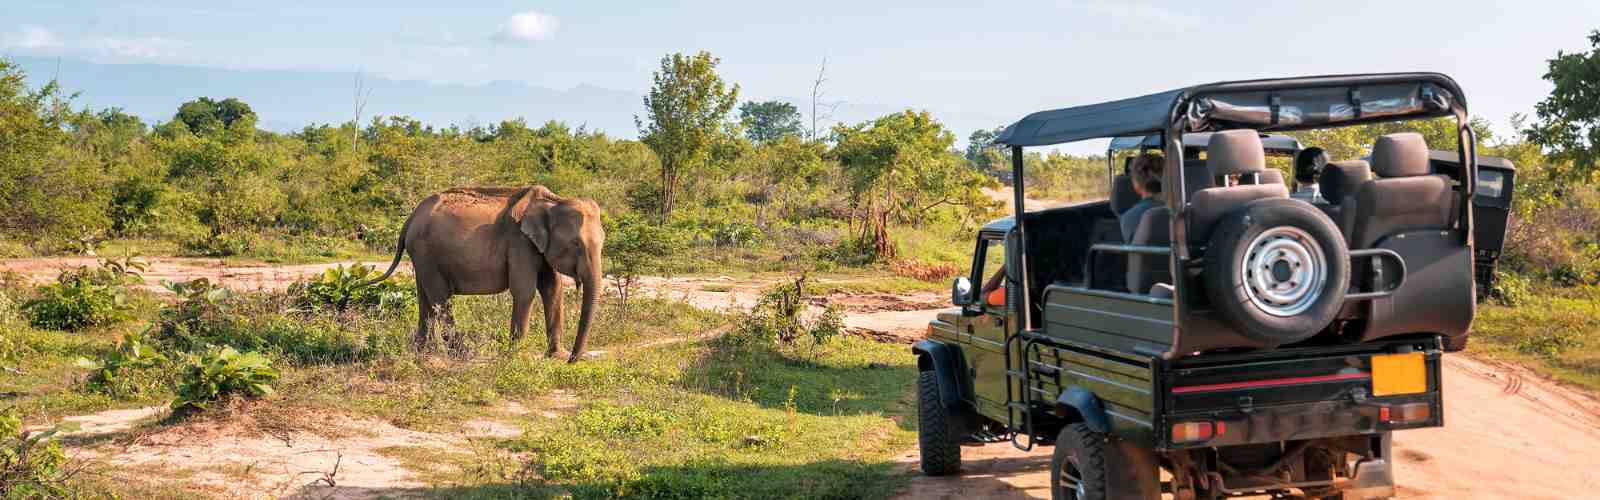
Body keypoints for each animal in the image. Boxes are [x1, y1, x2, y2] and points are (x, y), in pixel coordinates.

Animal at [366, 185, 601, 360]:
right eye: (576, 244)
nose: (573, 359)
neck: (553, 201)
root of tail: (411, 217)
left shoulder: (538, 247)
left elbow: (553, 289)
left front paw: (555, 356)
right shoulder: (519, 242)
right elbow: (525, 291)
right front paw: (516, 356)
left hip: (422, 256)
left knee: (425, 298)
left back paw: (423, 352)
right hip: (426, 253)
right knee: (440, 299)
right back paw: (461, 353)